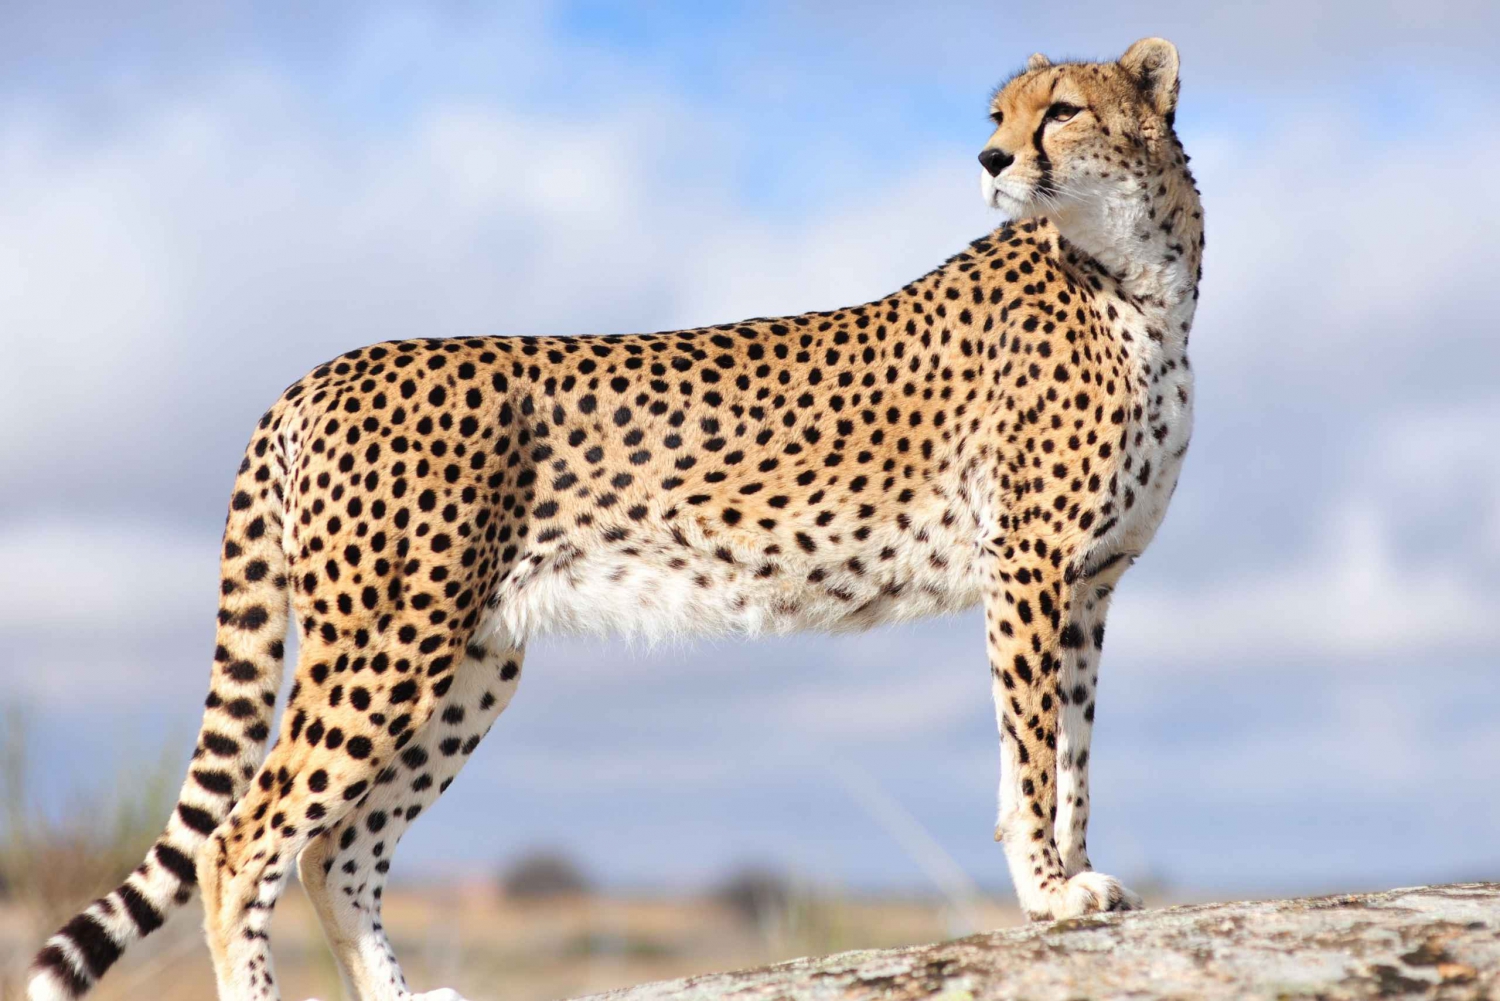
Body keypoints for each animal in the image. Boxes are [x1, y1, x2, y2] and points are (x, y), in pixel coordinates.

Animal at [29, 36, 1203, 1001]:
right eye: (999, 113)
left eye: (1060, 110)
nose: (990, 160)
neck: (1139, 278)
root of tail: (320, 371)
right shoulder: (1031, 569)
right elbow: (1035, 744)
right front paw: (1048, 891)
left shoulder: (1086, 582)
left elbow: (1069, 749)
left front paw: (1074, 878)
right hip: (389, 640)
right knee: (243, 843)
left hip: (473, 657)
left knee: (338, 848)